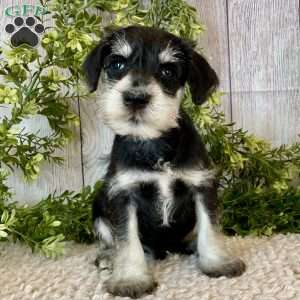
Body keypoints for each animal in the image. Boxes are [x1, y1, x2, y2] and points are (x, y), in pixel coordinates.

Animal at [82, 25, 246, 298]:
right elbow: (127, 241)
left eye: (168, 71)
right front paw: (130, 279)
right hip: (99, 209)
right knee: (110, 241)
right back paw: (107, 258)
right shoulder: (123, 195)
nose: (136, 98)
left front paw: (218, 263)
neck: (154, 142)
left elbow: (210, 228)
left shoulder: (202, 186)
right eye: (117, 64)